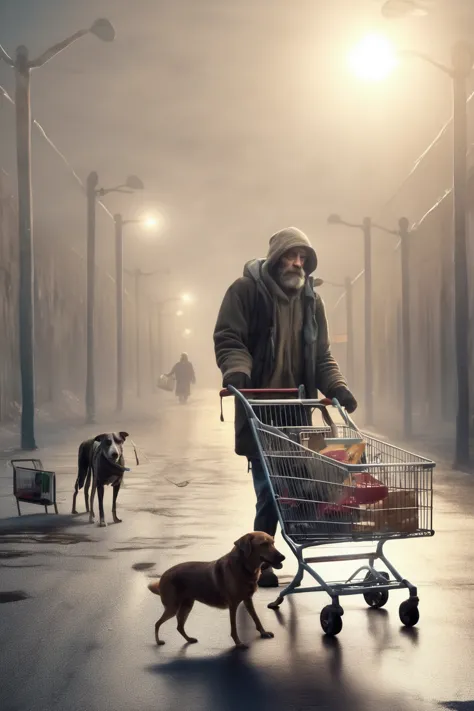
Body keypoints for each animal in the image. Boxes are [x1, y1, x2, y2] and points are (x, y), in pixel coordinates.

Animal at [148, 532, 284, 648]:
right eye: (263, 544)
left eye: (273, 543)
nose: (283, 557)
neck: (243, 567)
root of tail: (163, 576)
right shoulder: (233, 605)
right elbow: (234, 627)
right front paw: (238, 643)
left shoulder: (248, 600)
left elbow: (256, 618)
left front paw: (263, 632)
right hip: (173, 608)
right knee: (157, 623)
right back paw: (158, 641)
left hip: (186, 606)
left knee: (179, 626)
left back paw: (189, 639)